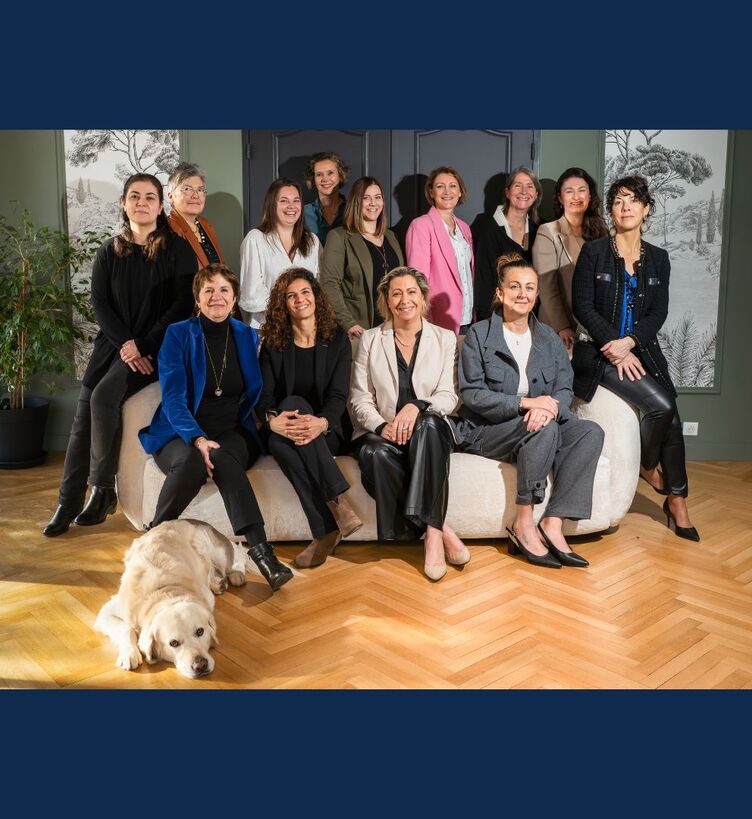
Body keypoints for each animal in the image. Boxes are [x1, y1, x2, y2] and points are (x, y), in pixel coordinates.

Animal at [95, 519, 247, 679]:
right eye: (173, 643)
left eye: (200, 631)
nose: (200, 665)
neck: (164, 591)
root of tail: (191, 519)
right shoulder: (107, 611)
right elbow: (126, 628)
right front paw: (129, 654)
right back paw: (218, 582)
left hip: (216, 550)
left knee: (237, 555)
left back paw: (235, 575)